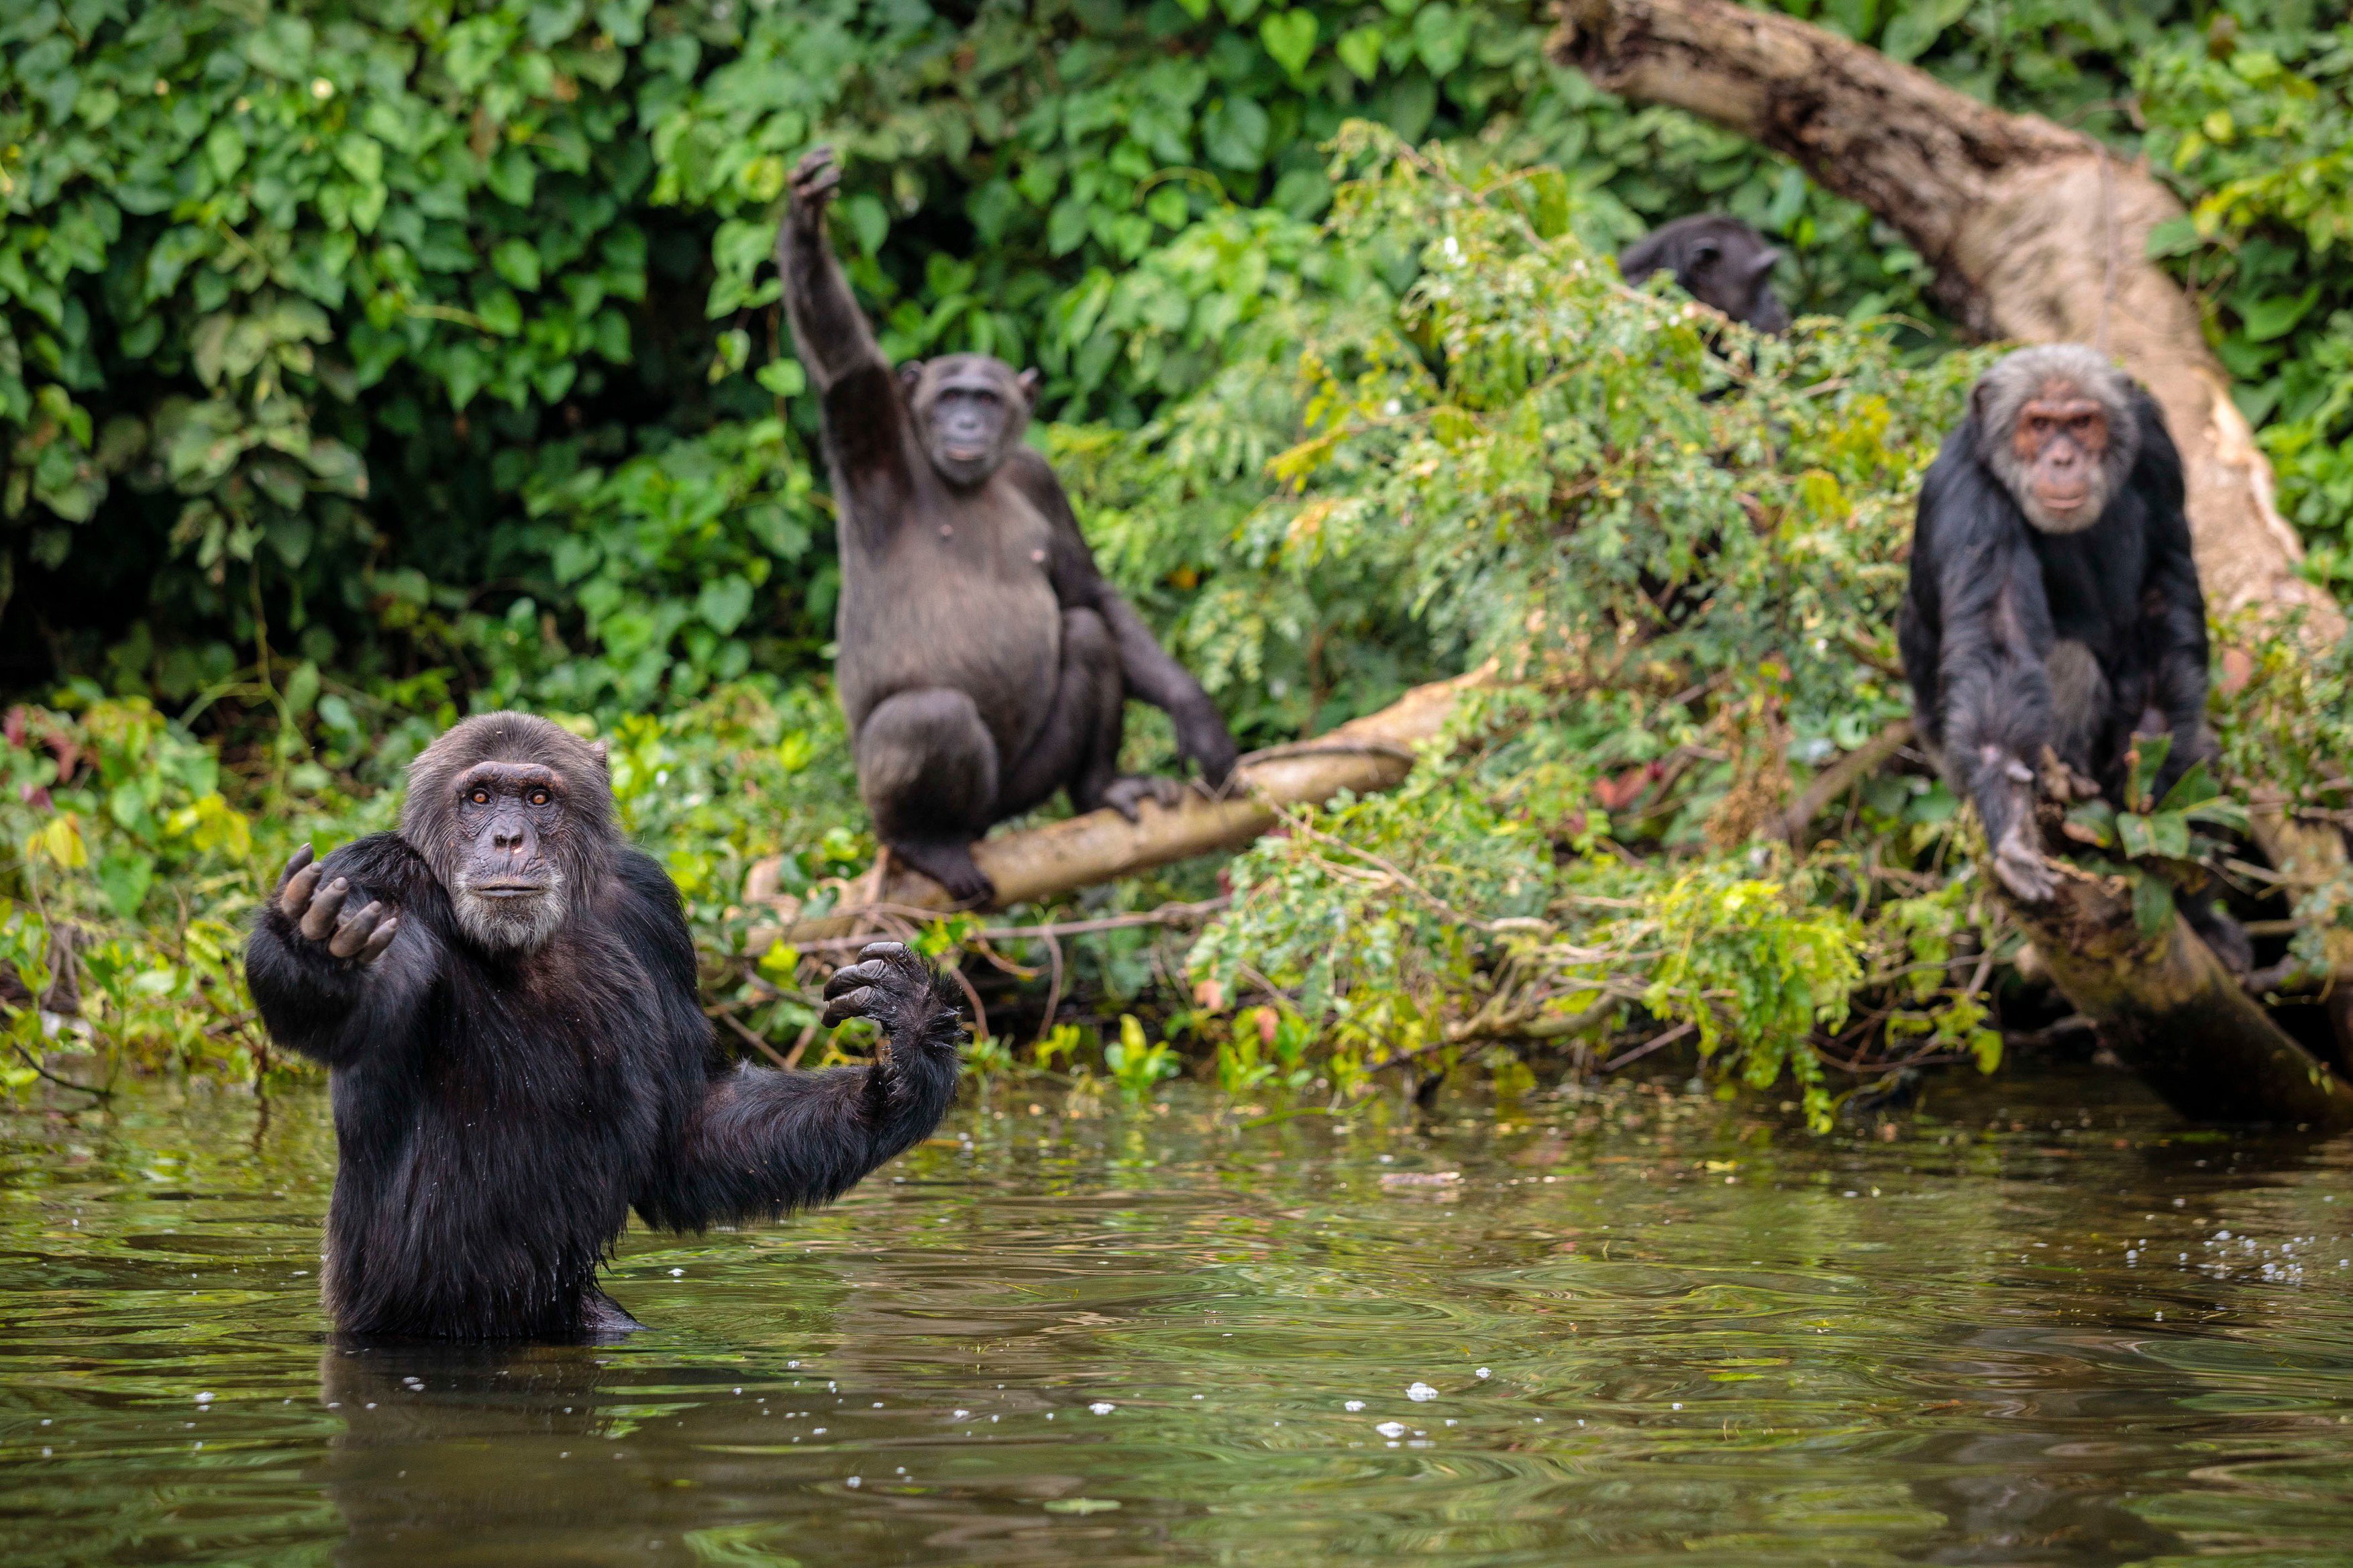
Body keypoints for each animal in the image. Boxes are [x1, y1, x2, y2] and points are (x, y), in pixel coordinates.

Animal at [246, 706, 964, 1328]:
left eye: (539, 798)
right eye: (478, 797)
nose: (509, 836)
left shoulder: (652, 909)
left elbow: (690, 1129)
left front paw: (908, 1051)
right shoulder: (371, 873)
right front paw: (315, 952)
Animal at [781, 149, 1242, 904]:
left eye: (988, 399)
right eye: (948, 398)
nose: (968, 423)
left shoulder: (1038, 478)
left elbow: (1086, 591)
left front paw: (1198, 717)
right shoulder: (874, 446)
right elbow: (847, 362)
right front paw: (805, 222)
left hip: (1019, 789)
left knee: (1086, 636)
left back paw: (1099, 789)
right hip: (907, 806)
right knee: (931, 717)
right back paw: (923, 842)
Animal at [1901, 348, 2249, 970]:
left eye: (2082, 421)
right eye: (2038, 424)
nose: (2062, 456)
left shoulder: (2157, 452)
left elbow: (2164, 581)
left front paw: (2158, 752)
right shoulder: (1968, 498)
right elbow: (1998, 640)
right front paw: (2012, 818)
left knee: (2201, 759)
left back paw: (2203, 921)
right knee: (2065, 663)